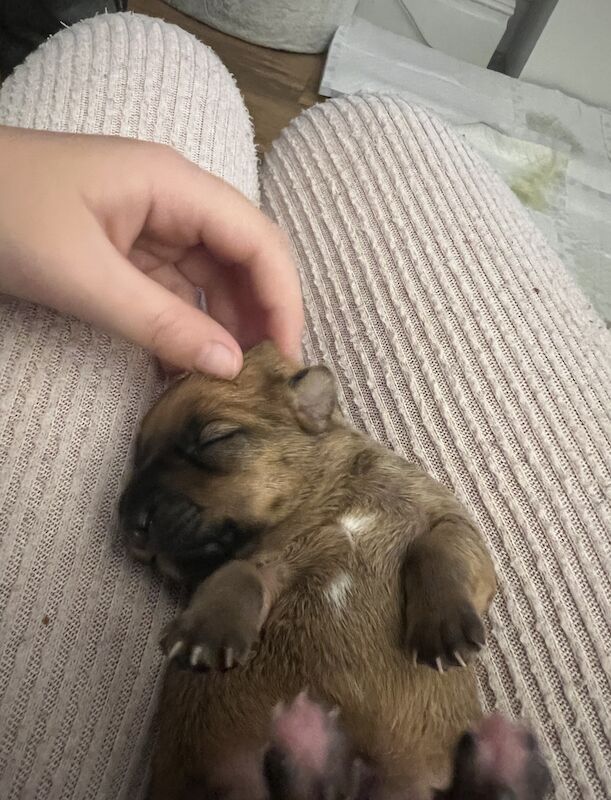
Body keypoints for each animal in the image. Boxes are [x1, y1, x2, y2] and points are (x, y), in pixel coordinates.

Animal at [120, 340, 502, 796]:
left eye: (216, 437)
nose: (130, 522)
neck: (331, 503)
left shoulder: (449, 521)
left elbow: (436, 549)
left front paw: (444, 629)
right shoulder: (265, 560)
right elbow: (235, 576)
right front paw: (203, 632)